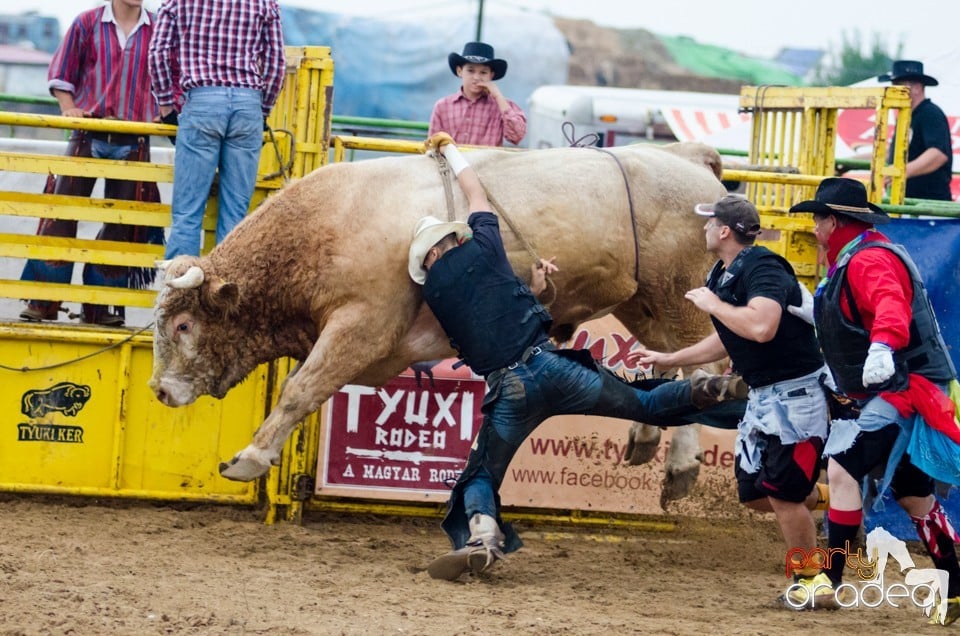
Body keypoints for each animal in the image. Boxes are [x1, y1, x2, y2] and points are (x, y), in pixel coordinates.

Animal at [150, 142, 728, 504]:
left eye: (183, 326)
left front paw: (249, 457)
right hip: (644, 302)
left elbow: (300, 388)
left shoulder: (363, 325)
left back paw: (682, 463)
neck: (330, 224)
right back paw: (651, 443)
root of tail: (689, 161)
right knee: (671, 363)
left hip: (683, 296)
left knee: (708, 368)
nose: (158, 391)